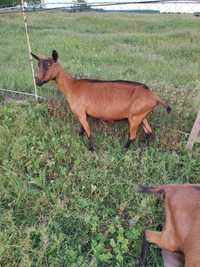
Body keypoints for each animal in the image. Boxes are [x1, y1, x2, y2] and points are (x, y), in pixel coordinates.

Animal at [31, 50, 170, 151]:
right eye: (38, 65)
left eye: (49, 65)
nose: (37, 81)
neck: (72, 86)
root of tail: (154, 96)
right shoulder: (83, 114)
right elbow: (81, 130)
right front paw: (79, 140)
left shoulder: (81, 113)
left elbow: (88, 132)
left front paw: (91, 148)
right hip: (141, 115)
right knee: (149, 132)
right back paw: (144, 147)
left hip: (134, 117)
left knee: (133, 136)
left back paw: (123, 150)